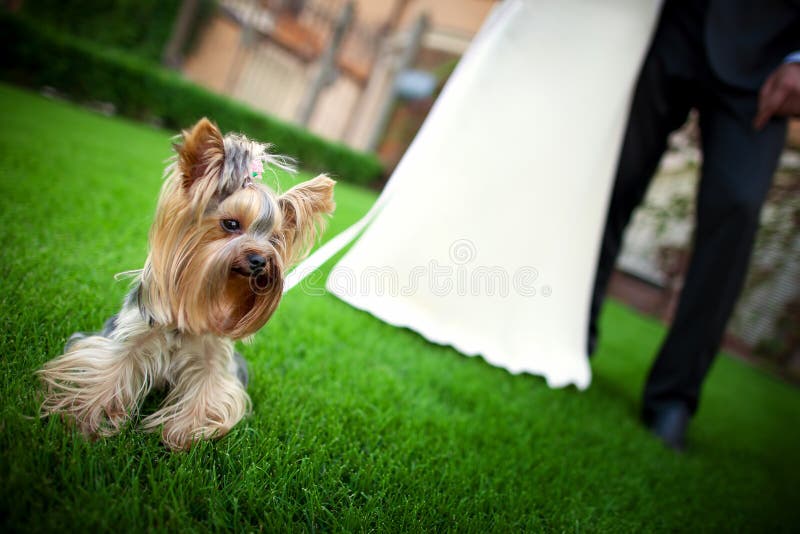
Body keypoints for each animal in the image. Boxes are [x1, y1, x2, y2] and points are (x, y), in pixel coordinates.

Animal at [37, 118, 336, 452]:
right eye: (230, 224)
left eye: (273, 239)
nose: (260, 260)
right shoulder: (131, 336)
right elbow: (109, 371)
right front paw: (81, 418)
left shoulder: (213, 357)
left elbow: (208, 394)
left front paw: (184, 435)